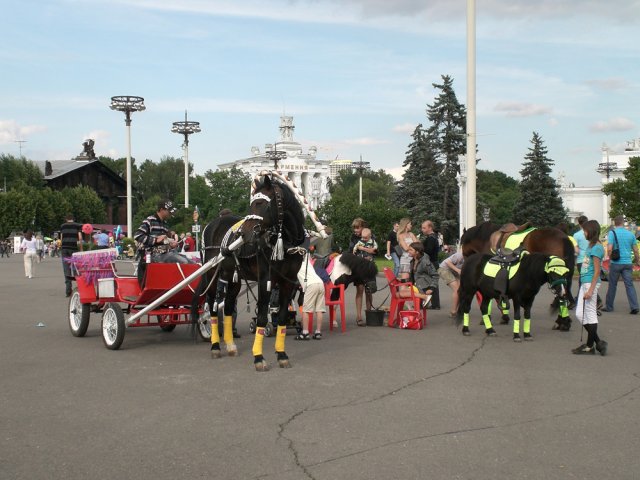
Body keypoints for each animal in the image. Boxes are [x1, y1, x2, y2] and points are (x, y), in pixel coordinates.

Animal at [192, 172, 304, 372]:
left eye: (261, 203)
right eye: (252, 204)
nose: (243, 233)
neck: (285, 242)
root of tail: (213, 223)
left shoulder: (288, 282)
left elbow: (283, 318)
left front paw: (281, 355)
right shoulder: (265, 279)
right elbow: (262, 317)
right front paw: (259, 357)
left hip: (232, 278)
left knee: (228, 307)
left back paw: (230, 345)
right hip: (212, 274)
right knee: (212, 308)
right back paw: (215, 346)